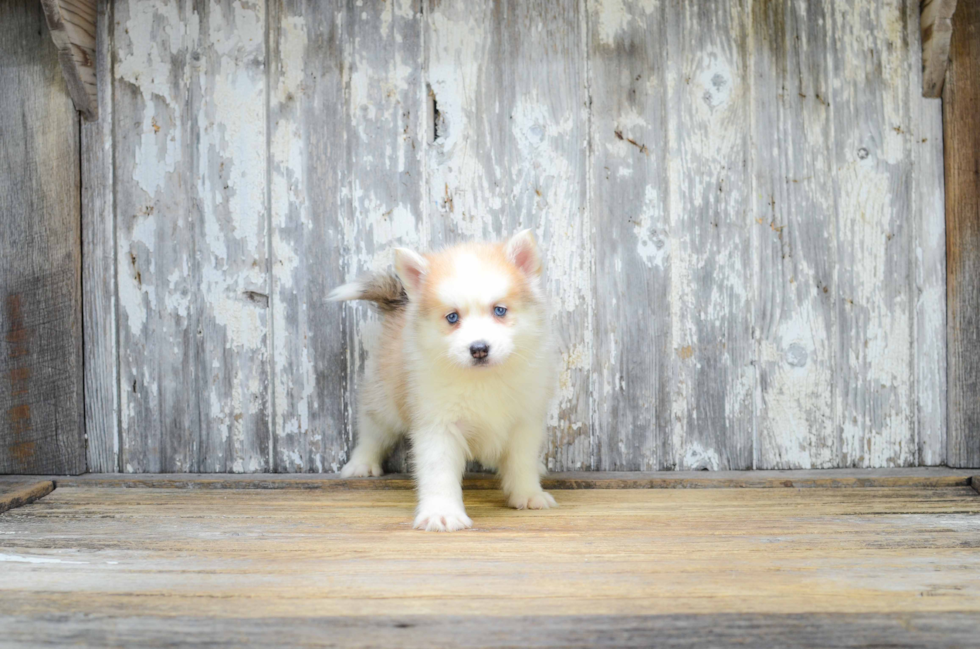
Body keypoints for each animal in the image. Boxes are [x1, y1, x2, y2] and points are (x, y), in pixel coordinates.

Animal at [332, 232, 556, 532]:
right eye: (452, 317)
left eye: (499, 310)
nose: (479, 349)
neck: (482, 380)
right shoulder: (438, 425)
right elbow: (439, 472)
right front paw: (442, 513)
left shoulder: (525, 421)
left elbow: (521, 463)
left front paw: (529, 494)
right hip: (383, 399)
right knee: (372, 430)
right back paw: (361, 464)